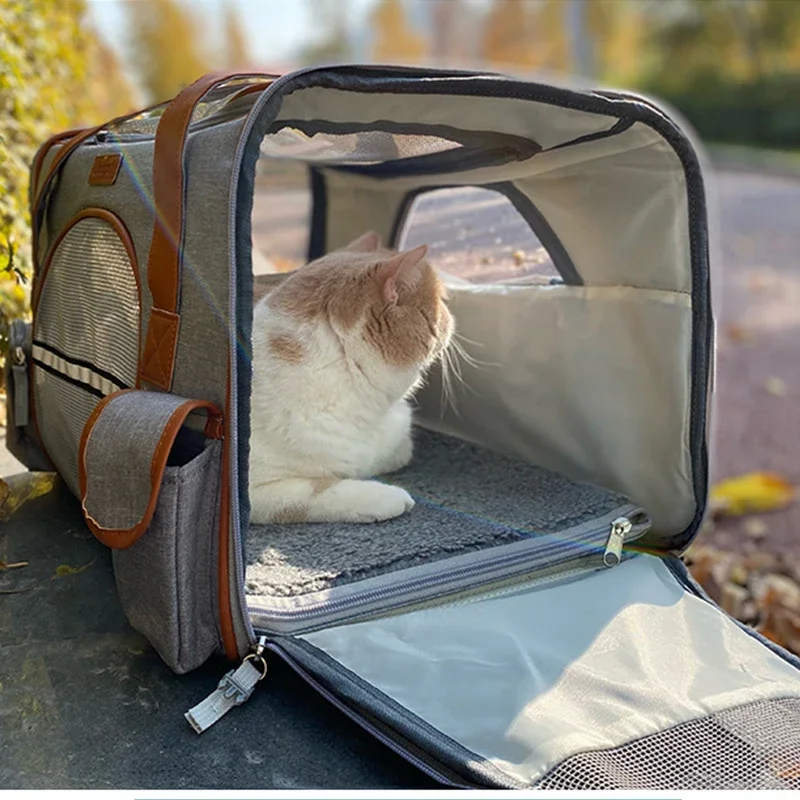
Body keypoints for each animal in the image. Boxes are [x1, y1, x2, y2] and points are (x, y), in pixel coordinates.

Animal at [247, 231, 454, 524]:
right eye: (442, 303)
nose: (452, 317)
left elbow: (397, 450)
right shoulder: (256, 491)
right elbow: (320, 489)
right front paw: (384, 497)